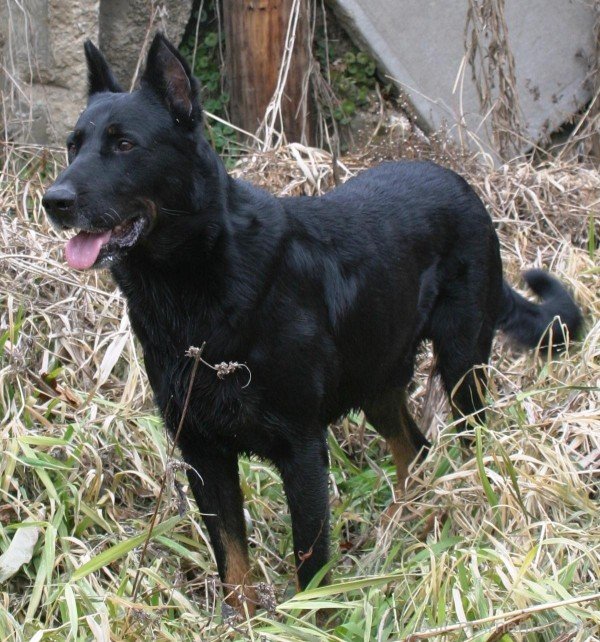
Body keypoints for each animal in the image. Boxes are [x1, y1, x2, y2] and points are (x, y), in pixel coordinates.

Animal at [43, 33, 580, 608]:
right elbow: (233, 567)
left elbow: (311, 564)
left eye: (124, 145)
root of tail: (463, 186)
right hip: (377, 382)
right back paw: (402, 531)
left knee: (470, 442)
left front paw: (307, 616)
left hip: (462, 369)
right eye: (73, 145)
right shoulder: (203, 452)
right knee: (414, 449)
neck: (197, 286)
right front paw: (247, 620)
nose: (54, 201)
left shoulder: (300, 449)